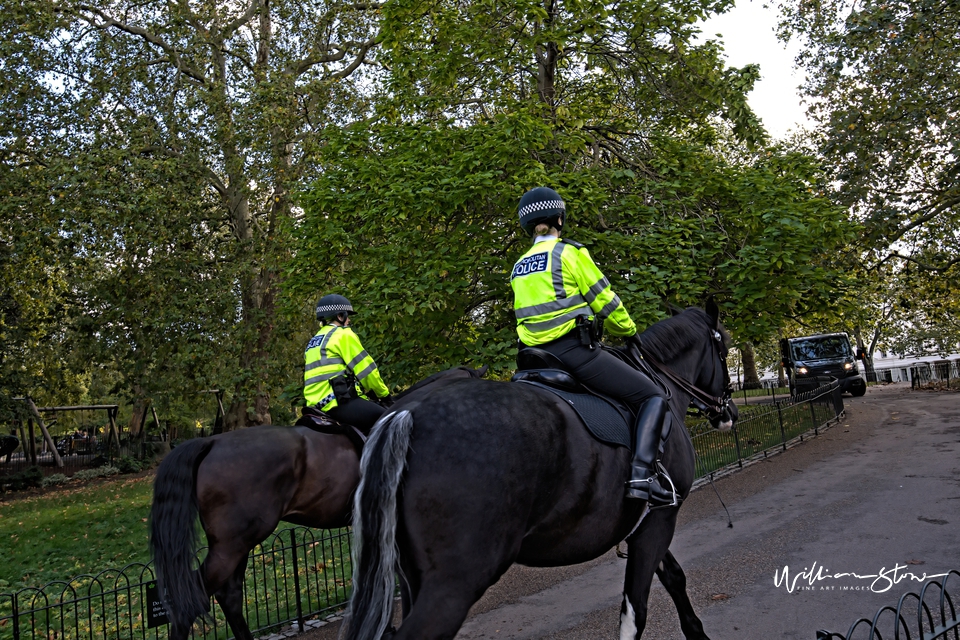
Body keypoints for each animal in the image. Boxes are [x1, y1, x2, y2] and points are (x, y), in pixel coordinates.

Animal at [348, 304, 740, 640]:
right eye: (724, 347)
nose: (729, 411)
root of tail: (407, 413)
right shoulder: (659, 518)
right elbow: (634, 613)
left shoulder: (643, 523)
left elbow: (673, 577)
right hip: (454, 583)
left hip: (412, 577)